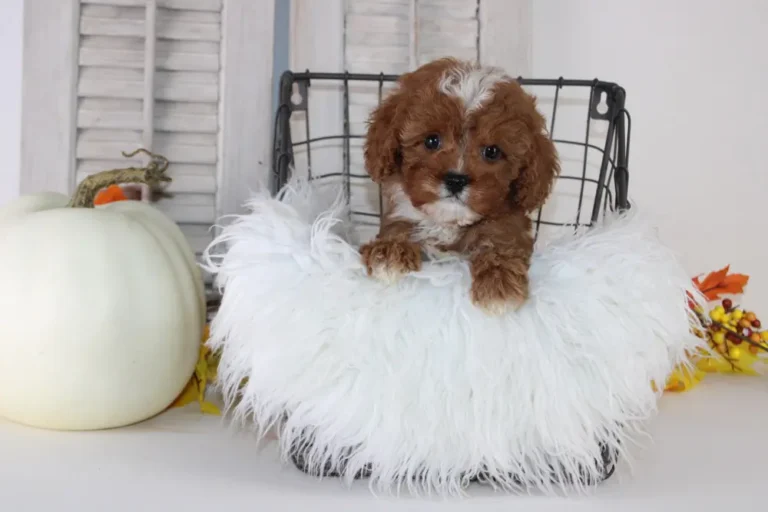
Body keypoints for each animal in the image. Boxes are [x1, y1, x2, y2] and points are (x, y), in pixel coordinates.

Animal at [360, 56, 560, 312]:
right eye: (431, 140)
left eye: (492, 151)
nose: (456, 179)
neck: (448, 222)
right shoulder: (401, 215)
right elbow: (397, 229)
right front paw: (388, 253)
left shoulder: (509, 226)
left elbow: (501, 245)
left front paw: (499, 286)